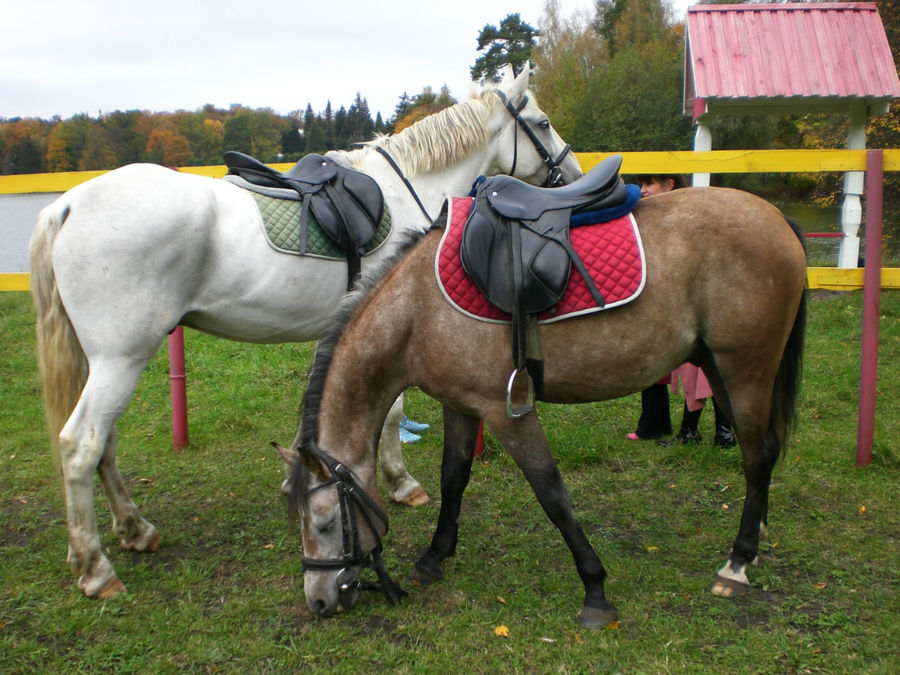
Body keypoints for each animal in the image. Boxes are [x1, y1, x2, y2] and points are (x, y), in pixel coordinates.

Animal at [29, 66, 584, 600]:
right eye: (541, 123)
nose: (572, 174)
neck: (407, 184)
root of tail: (68, 204)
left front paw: (299, 474)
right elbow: (392, 412)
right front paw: (401, 482)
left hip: (105, 360)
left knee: (105, 444)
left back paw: (134, 528)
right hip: (121, 358)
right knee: (80, 445)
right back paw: (96, 567)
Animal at [288, 185, 808, 628]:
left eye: (326, 522)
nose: (318, 601)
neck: (418, 307)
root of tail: (776, 217)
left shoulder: (506, 413)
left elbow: (552, 494)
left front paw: (595, 589)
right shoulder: (461, 406)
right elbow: (453, 478)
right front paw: (434, 557)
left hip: (744, 369)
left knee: (758, 454)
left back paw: (737, 563)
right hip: (718, 368)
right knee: (761, 453)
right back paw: (754, 540)